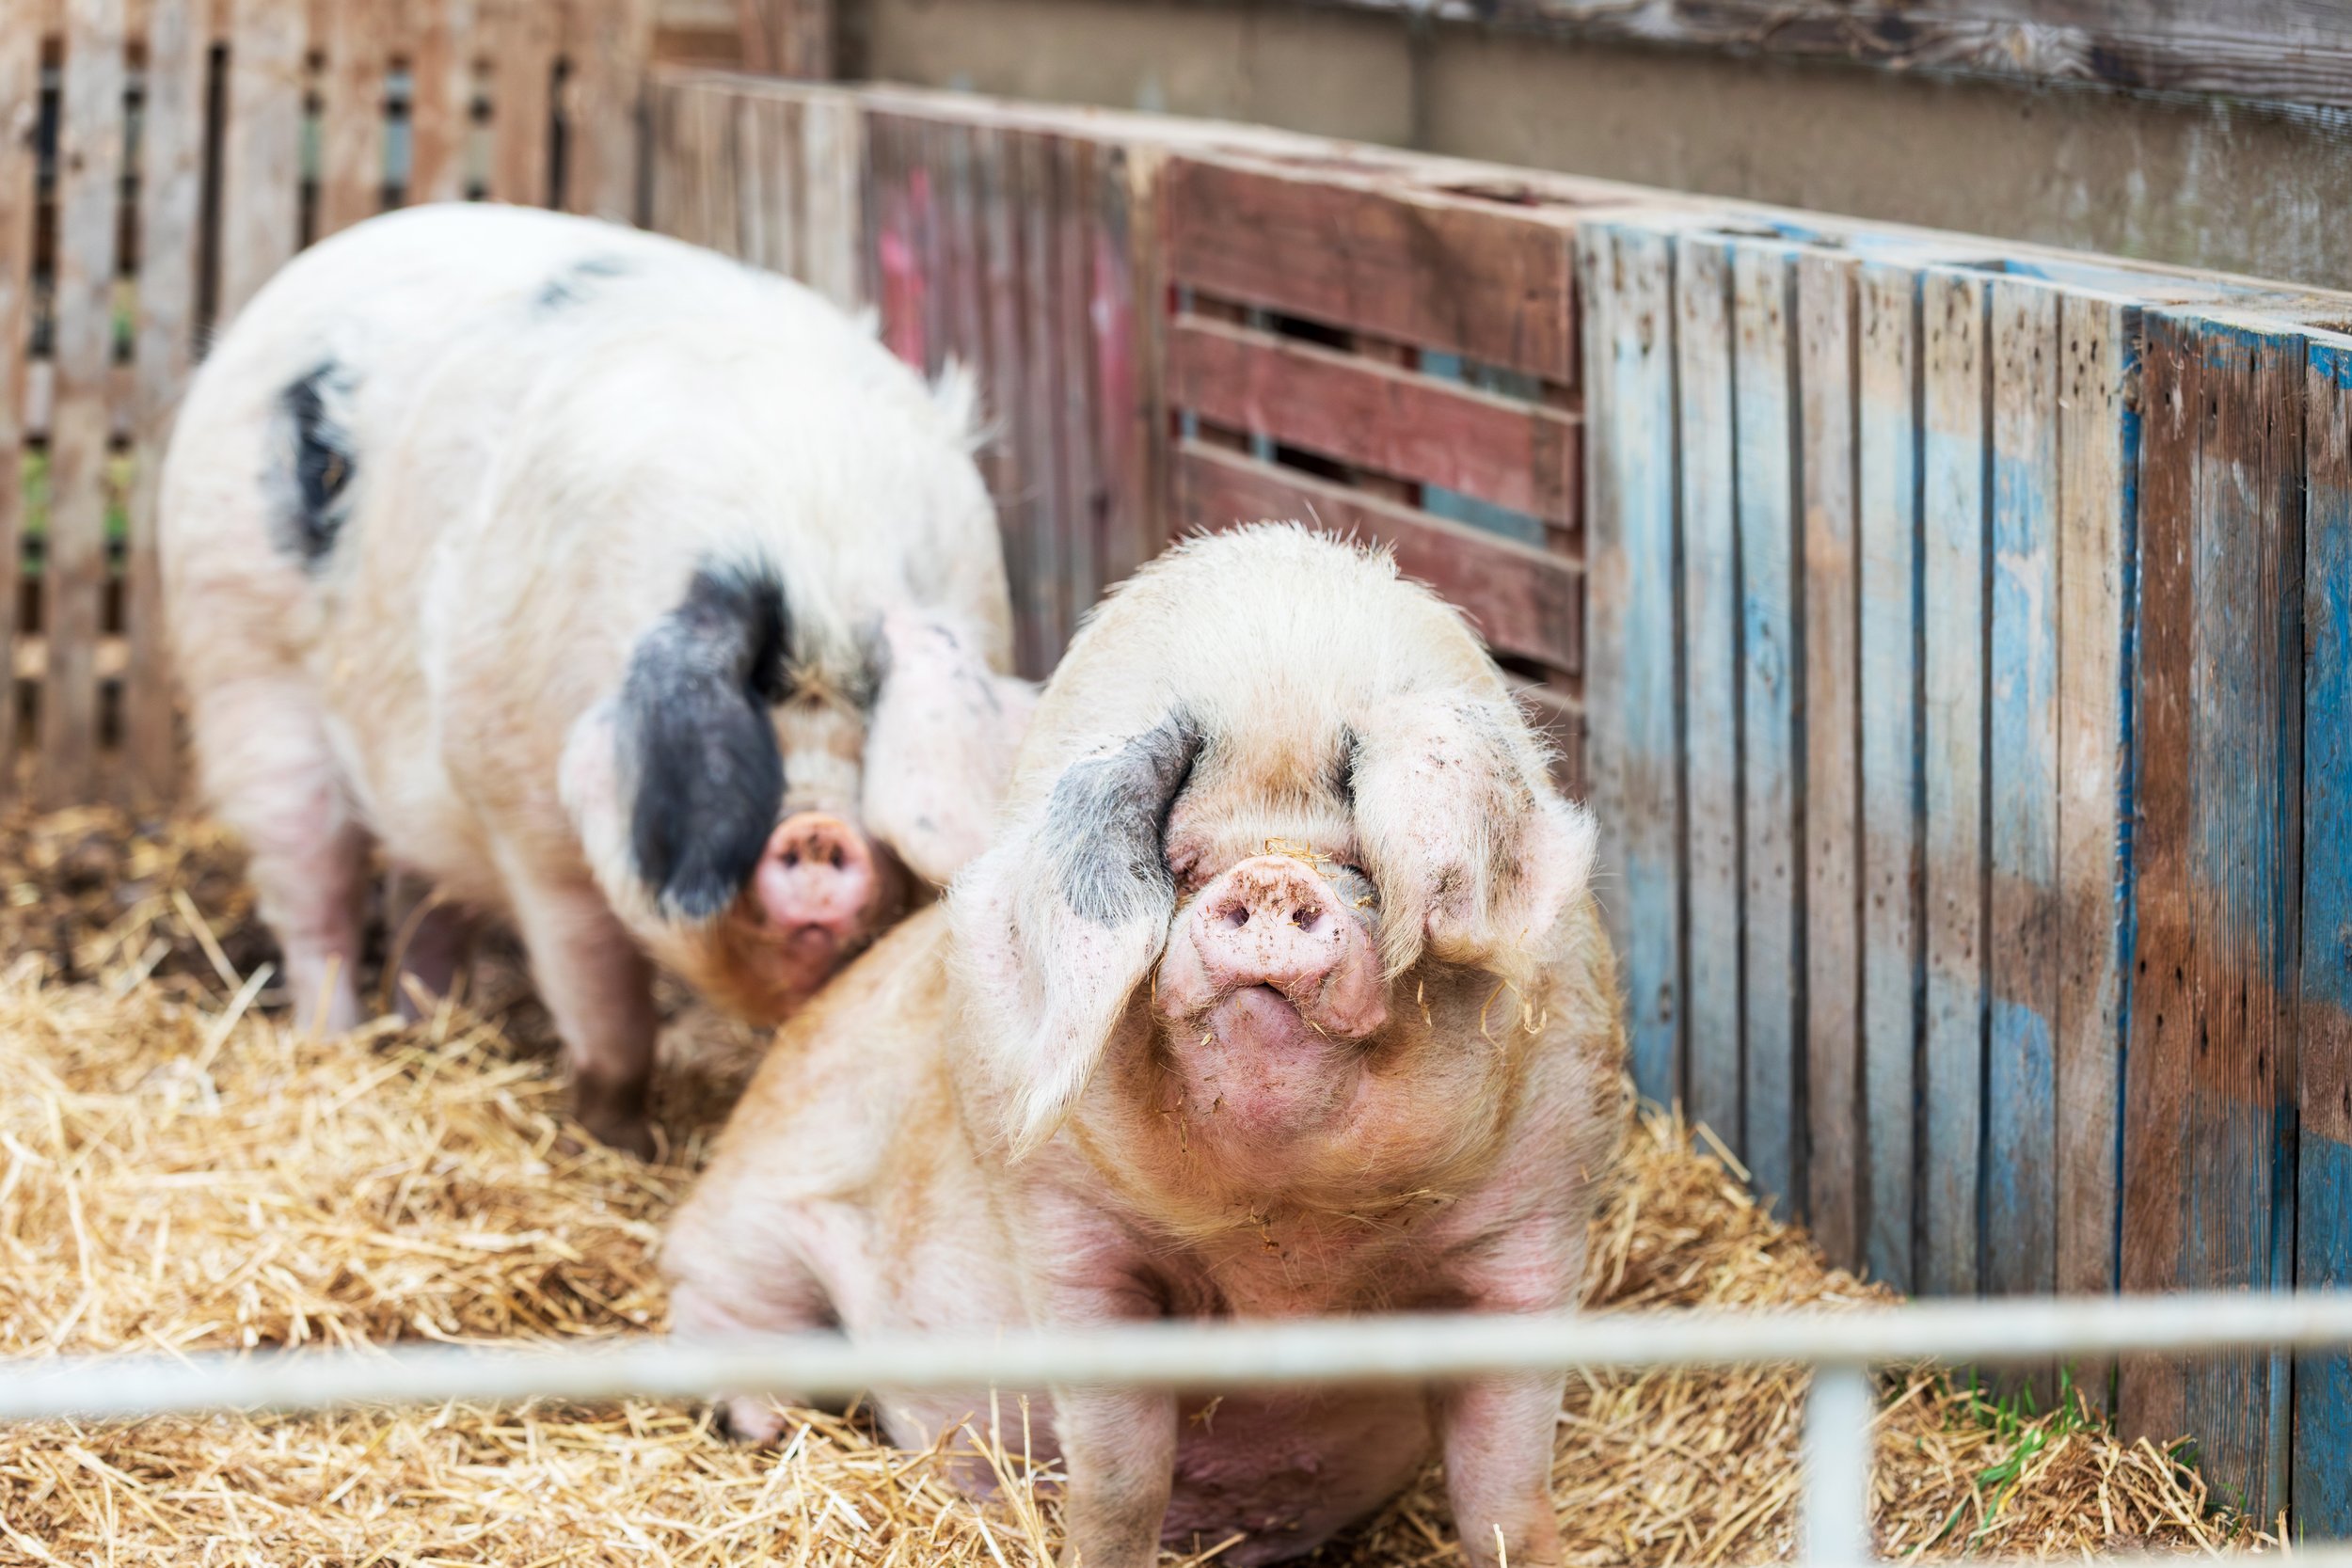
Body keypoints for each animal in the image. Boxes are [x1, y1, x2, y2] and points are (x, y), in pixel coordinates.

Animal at [160, 204, 1031, 1154]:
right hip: (244, 670)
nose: (818, 832)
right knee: (312, 896)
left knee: (424, 901)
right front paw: (615, 1143)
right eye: (753, 700)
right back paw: (336, 1042)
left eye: (869, 707)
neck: (811, 540)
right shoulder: (534, 833)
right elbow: (610, 1026)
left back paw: (423, 1030)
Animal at [662, 524, 1629, 1567]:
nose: (1269, 878)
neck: (1287, 1247)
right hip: (748, 1225)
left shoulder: (1541, 1215)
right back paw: (762, 1424)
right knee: (718, 1311)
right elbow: (1121, 1478)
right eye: (1185, 862)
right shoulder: (1064, 1225)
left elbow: (1505, 1486)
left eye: (1358, 864)